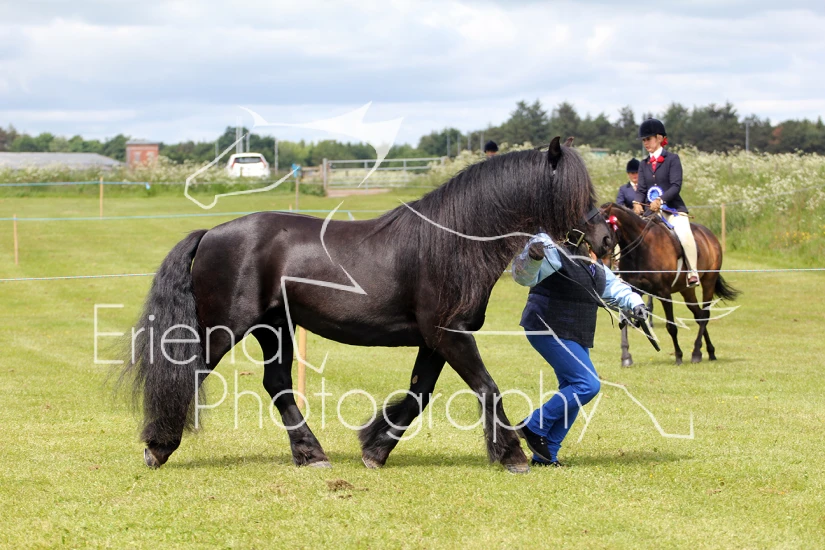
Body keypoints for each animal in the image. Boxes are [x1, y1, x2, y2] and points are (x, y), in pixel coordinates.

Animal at [119, 137, 615, 474]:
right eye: (573, 195)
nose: (606, 239)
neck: (452, 244)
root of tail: (211, 233)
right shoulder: (450, 335)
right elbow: (487, 387)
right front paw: (512, 455)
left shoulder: (436, 340)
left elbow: (419, 394)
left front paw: (375, 448)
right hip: (224, 329)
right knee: (188, 374)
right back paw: (159, 447)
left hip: (274, 328)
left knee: (277, 385)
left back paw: (312, 454)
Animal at [601, 203, 739, 366]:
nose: (604, 264)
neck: (641, 249)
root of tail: (709, 235)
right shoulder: (632, 289)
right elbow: (625, 320)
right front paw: (626, 357)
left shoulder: (664, 293)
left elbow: (671, 326)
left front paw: (678, 356)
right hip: (687, 290)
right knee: (698, 315)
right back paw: (710, 352)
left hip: (709, 281)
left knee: (705, 315)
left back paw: (696, 353)